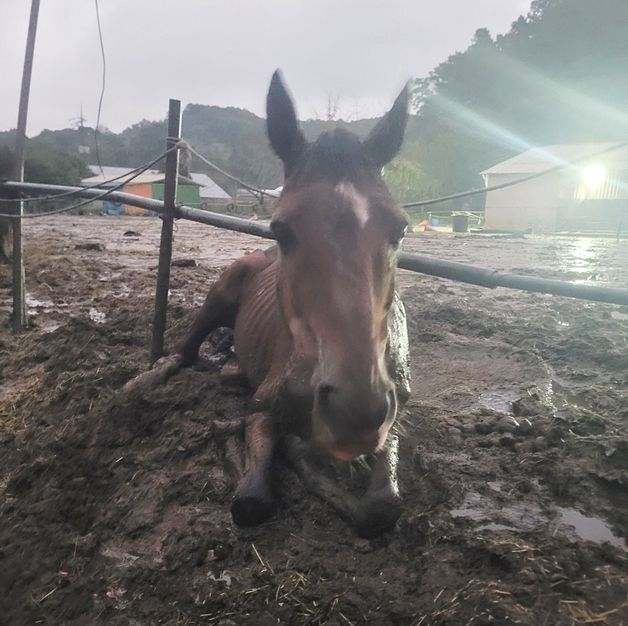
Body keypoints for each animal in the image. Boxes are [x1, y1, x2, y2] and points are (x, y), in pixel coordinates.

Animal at [128, 70, 412, 532]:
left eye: (401, 229)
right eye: (281, 230)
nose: (354, 412)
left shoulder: (394, 416)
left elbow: (382, 506)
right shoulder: (262, 408)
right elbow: (251, 499)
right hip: (219, 293)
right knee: (184, 353)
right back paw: (145, 380)